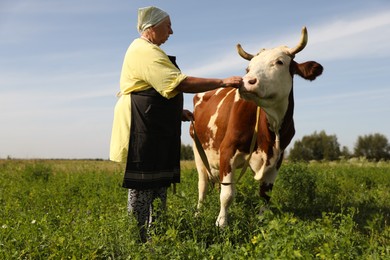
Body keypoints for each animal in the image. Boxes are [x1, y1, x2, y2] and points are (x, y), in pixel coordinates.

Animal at [190, 27, 324, 226]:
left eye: (279, 62)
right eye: (248, 68)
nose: (246, 81)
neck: (271, 129)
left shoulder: (277, 159)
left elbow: (265, 195)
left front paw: (262, 221)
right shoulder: (227, 150)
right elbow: (227, 195)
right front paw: (221, 222)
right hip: (198, 152)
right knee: (203, 185)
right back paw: (198, 213)